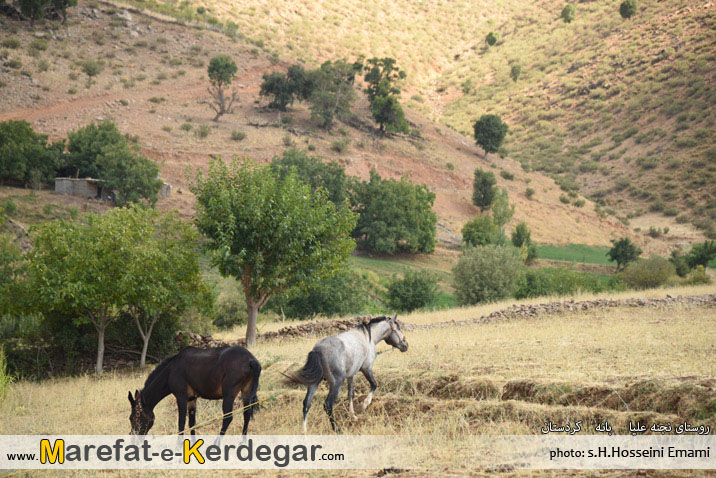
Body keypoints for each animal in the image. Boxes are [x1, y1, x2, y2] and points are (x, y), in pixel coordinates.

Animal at [127, 346, 262, 436]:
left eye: (132, 417)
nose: (132, 435)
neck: (171, 370)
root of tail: (251, 360)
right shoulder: (192, 399)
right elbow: (192, 423)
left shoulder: (181, 397)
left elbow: (181, 423)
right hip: (246, 392)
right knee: (247, 414)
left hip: (229, 395)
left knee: (228, 418)